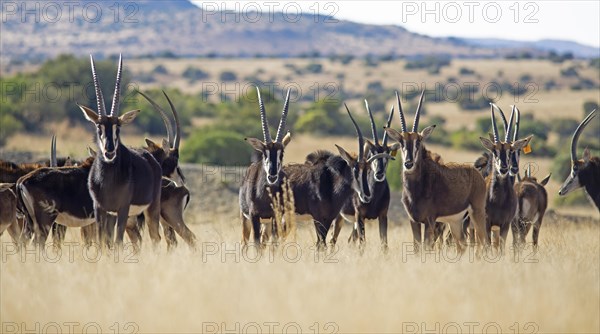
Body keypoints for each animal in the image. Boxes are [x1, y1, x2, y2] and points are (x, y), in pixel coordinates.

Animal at [81, 55, 164, 248]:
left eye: (118, 127)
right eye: (98, 127)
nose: (109, 152)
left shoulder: (123, 208)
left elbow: (117, 242)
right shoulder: (100, 209)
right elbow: (103, 243)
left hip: (150, 209)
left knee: (155, 238)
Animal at [239, 87, 290, 247]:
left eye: (282, 153)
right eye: (264, 152)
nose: (272, 175)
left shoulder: (275, 216)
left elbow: (273, 244)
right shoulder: (254, 216)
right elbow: (255, 243)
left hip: (267, 223)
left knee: (264, 241)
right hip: (246, 219)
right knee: (245, 242)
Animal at [328, 98, 398, 252]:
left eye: (387, 153)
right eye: (372, 152)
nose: (379, 173)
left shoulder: (383, 216)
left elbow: (384, 244)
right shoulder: (360, 216)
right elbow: (362, 245)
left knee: (349, 240)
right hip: (339, 218)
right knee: (332, 240)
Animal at [384, 90, 492, 252]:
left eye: (418, 141)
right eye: (401, 142)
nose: (409, 163)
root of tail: (476, 173)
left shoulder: (430, 220)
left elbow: (427, 247)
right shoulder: (414, 221)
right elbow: (417, 248)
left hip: (476, 213)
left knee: (483, 240)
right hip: (455, 221)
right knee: (462, 246)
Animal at [480, 103, 532, 252]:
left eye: (511, 150)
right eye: (494, 151)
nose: (504, 168)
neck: (498, 200)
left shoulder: (505, 225)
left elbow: (501, 250)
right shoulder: (487, 223)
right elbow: (488, 247)